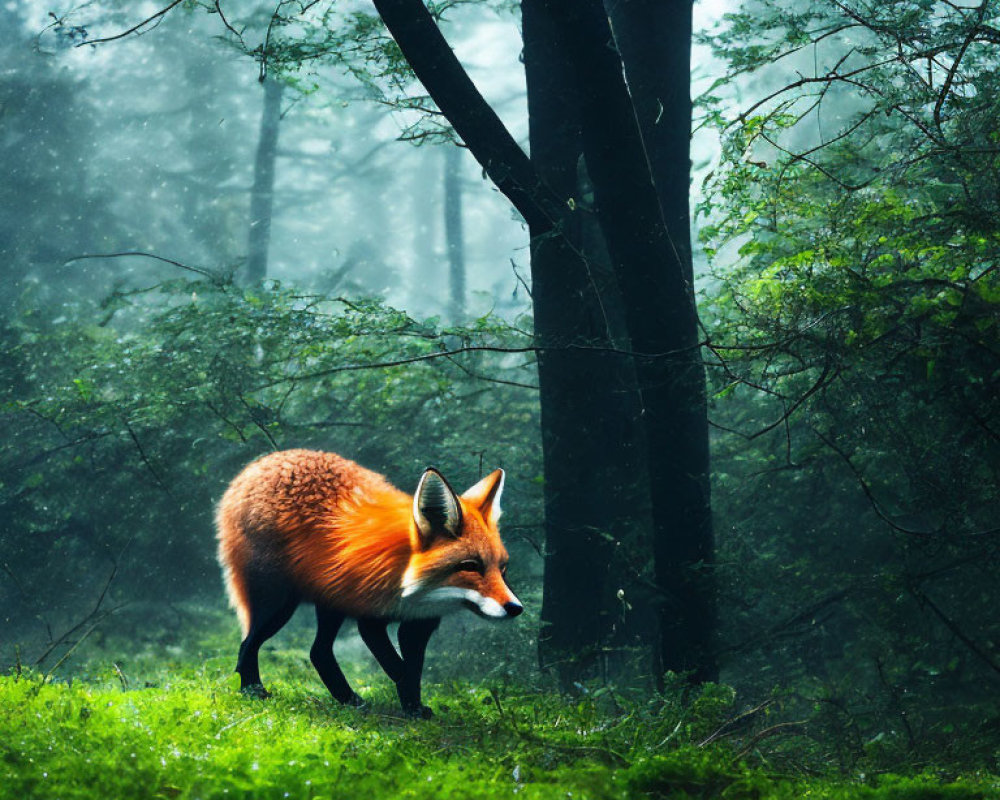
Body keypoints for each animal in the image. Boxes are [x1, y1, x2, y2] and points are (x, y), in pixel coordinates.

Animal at [218, 450, 524, 720]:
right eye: (471, 566)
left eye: (503, 569)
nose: (515, 608)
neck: (412, 590)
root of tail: (258, 465)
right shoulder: (370, 619)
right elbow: (401, 670)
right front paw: (411, 707)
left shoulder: (418, 626)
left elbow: (413, 669)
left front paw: (413, 708)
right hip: (278, 606)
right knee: (247, 644)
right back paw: (252, 690)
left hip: (331, 603)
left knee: (318, 652)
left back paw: (348, 699)